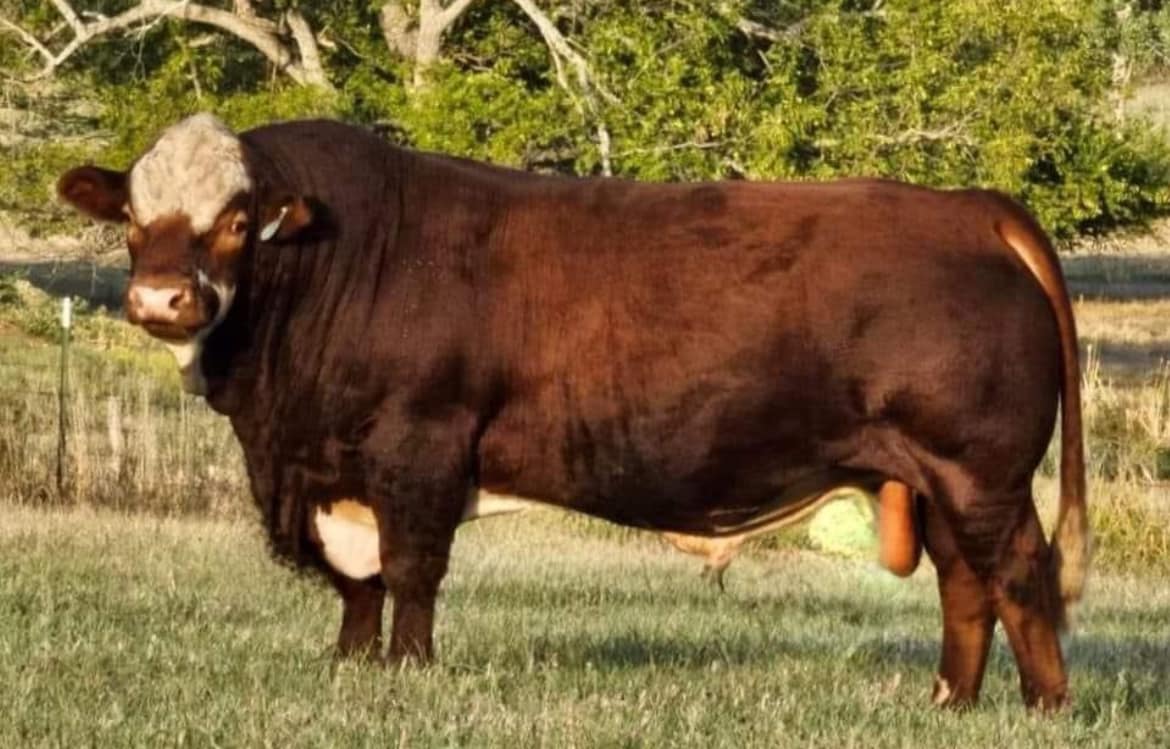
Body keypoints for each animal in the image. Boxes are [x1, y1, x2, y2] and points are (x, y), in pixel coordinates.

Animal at [57, 113, 1088, 710]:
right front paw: (350, 665)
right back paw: (948, 701)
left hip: (980, 470)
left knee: (1018, 572)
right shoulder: (328, 470)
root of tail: (965, 207)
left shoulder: (419, 447)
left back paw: (1044, 705)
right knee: (966, 584)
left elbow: (410, 570)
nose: (159, 299)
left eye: (237, 220)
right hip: (933, 475)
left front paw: (406, 674)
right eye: (132, 219)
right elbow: (358, 582)